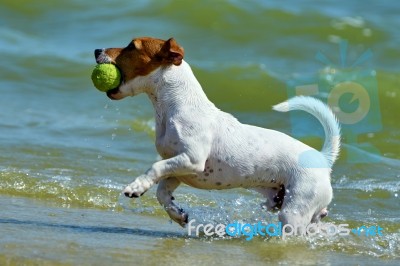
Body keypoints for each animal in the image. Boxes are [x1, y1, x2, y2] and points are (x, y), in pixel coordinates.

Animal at [94, 37, 340, 229]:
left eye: (131, 46)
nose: (97, 50)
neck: (176, 106)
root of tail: (322, 158)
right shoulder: (179, 168)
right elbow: (162, 192)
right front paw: (178, 214)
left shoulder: (192, 160)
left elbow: (154, 168)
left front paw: (136, 186)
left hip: (294, 211)